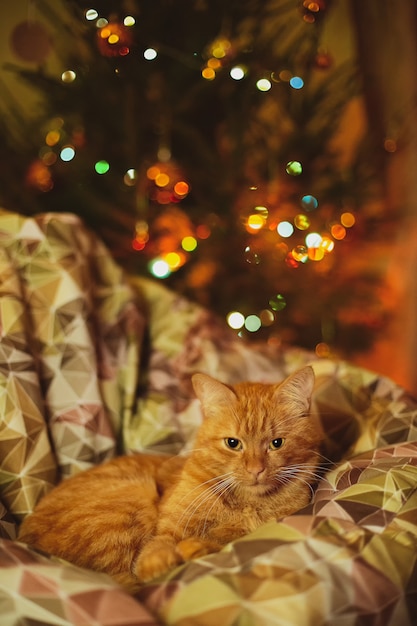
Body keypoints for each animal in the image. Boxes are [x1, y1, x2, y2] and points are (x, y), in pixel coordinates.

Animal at [19, 364, 322, 588]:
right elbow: (157, 549)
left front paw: (195, 547)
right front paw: (163, 561)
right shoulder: (169, 527)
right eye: (233, 443)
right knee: (126, 580)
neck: (246, 503)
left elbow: (220, 539)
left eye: (276, 443)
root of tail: (25, 535)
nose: (256, 469)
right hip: (132, 496)